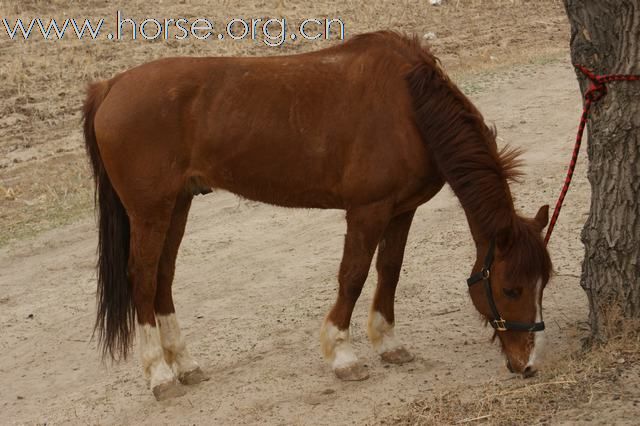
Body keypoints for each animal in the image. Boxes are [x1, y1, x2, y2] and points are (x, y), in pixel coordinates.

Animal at [84, 31, 552, 402]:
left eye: (542, 284)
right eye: (510, 289)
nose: (527, 364)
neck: (407, 108)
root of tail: (111, 86)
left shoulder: (402, 211)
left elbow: (389, 270)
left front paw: (388, 343)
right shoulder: (367, 211)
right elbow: (353, 276)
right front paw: (343, 356)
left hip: (177, 205)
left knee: (162, 277)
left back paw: (185, 365)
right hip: (150, 212)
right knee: (143, 279)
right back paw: (160, 375)